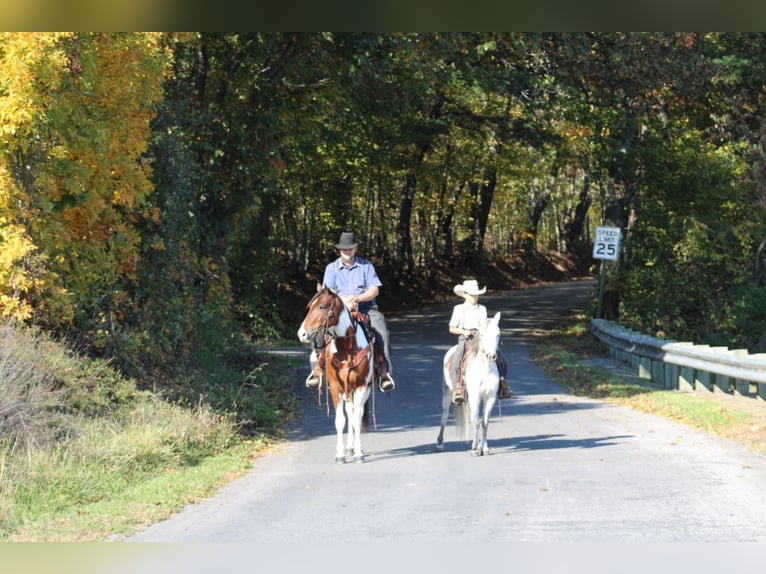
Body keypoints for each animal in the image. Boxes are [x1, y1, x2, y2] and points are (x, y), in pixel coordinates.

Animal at [296, 288, 376, 464]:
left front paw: (359, 453)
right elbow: (340, 420)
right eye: (310, 306)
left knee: (356, 414)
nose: (302, 334)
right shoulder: (335, 387)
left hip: (363, 390)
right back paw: (349, 447)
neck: (347, 348)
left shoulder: (361, 386)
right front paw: (340, 454)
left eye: (322, 306)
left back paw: (356, 448)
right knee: (350, 412)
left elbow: (356, 419)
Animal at [438, 312, 504, 456]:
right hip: (447, 391)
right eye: (482, 335)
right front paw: (475, 449)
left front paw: (484, 448)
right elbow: (475, 422)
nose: (491, 356)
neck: (485, 369)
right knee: (444, 415)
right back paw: (439, 444)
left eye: (498, 334)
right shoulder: (475, 397)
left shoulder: (490, 398)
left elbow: (484, 422)